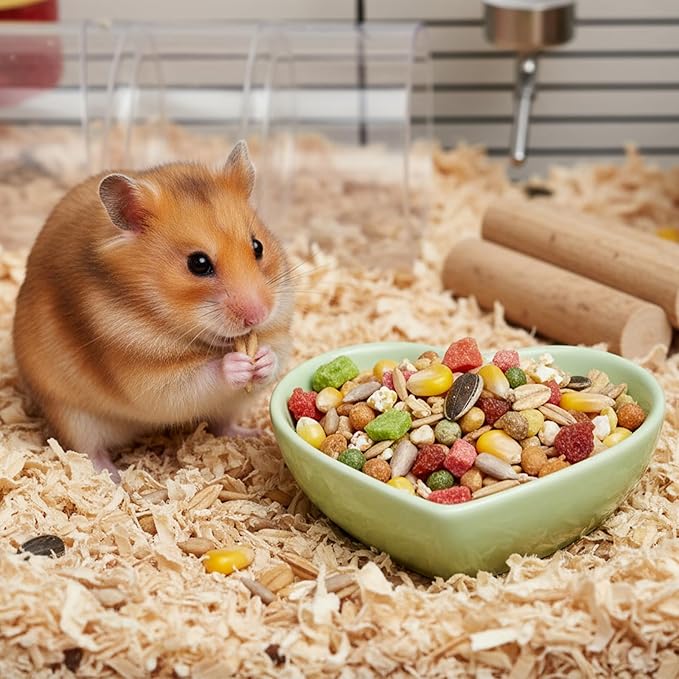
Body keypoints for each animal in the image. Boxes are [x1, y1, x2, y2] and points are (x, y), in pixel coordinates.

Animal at [12, 141, 295, 482]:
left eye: (257, 246)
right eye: (198, 263)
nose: (258, 315)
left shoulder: (279, 333)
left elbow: (276, 355)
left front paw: (262, 359)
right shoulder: (147, 376)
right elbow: (198, 379)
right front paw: (236, 365)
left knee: (222, 423)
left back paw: (250, 433)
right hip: (71, 414)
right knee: (87, 450)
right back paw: (114, 477)